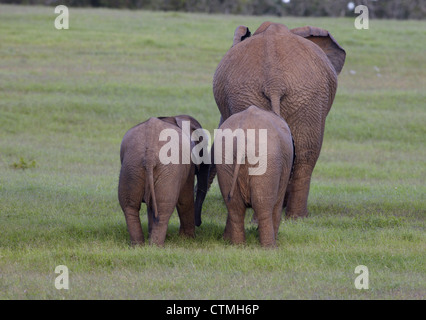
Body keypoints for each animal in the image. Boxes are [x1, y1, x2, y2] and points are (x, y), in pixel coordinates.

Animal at [116, 114, 203, 245]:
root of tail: (150, 154)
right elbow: (185, 199)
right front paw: (188, 239)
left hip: (131, 166)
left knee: (130, 206)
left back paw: (139, 245)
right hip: (165, 169)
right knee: (163, 207)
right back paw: (155, 246)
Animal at [195, 21, 344, 221]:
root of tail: (275, 82)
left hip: (299, 96)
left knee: (305, 153)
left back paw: (292, 217)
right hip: (289, 96)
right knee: (305, 154)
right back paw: (290, 217)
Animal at [215, 105, 294, 248]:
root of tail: (243, 130)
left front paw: (226, 239)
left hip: (224, 156)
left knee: (234, 206)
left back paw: (238, 246)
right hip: (266, 159)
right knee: (263, 205)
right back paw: (270, 248)